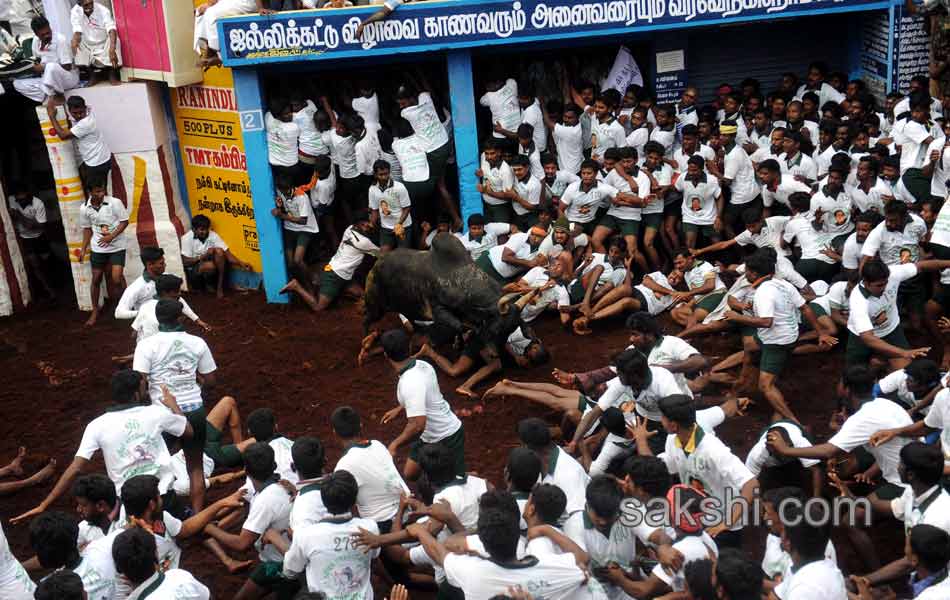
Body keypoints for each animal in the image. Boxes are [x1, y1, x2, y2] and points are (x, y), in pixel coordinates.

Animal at [362, 231, 516, 350]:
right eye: (496, 330)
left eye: (510, 330)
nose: (495, 354)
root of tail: (378, 260)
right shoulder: (438, 310)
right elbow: (459, 326)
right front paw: (459, 343)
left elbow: (460, 327)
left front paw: (459, 343)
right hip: (376, 306)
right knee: (366, 319)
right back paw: (366, 341)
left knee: (409, 316)